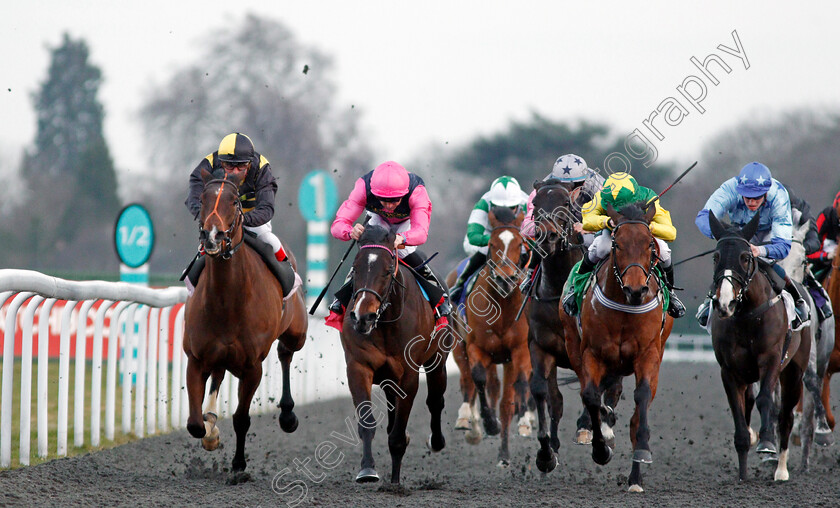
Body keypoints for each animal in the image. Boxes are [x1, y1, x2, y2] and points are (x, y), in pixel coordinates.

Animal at [182, 170, 306, 472]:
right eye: (203, 198)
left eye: (235, 201)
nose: (212, 236)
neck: (227, 300)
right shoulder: (197, 358)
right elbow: (195, 424)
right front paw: (211, 433)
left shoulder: (252, 368)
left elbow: (241, 418)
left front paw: (238, 464)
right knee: (217, 376)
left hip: (297, 332)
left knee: (286, 352)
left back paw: (288, 415)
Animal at [340, 225, 450, 484]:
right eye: (355, 268)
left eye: (388, 270)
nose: (363, 317)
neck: (386, 322)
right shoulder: (358, 367)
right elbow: (367, 422)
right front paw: (367, 470)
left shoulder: (409, 374)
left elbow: (399, 433)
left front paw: (395, 482)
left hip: (438, 360)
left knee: (435, 400)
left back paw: (436, 441)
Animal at [460, 204, 532, 466]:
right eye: (491, 244)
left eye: (520, 243)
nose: (505, 279)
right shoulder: (475, 347)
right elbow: (479, 378)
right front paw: (489, 424)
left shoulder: (520, 349)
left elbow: (517, 387)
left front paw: (522, 423)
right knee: (471, 382)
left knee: (506, 400)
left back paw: (504, 453)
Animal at [560, 202, 672, 492]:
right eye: (617, 244)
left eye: (649, 245)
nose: (636, 290)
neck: (625, 308)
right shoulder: (592, 353)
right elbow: (590, 395)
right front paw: (601, 447)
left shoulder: (648, 354)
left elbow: (641, 400)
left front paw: (641, 456)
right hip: (575, 346)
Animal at [704, 211, 812, 484]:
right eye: (716, 257)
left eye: (745, 257)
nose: (725, 303)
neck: (746, 315)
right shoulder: (730, 371)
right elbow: (739, 414)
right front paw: (743, 472)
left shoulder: (771, 359)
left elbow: (767, 401)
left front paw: (766, 444)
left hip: (794, 372)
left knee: (785, 417)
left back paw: (781, 470)